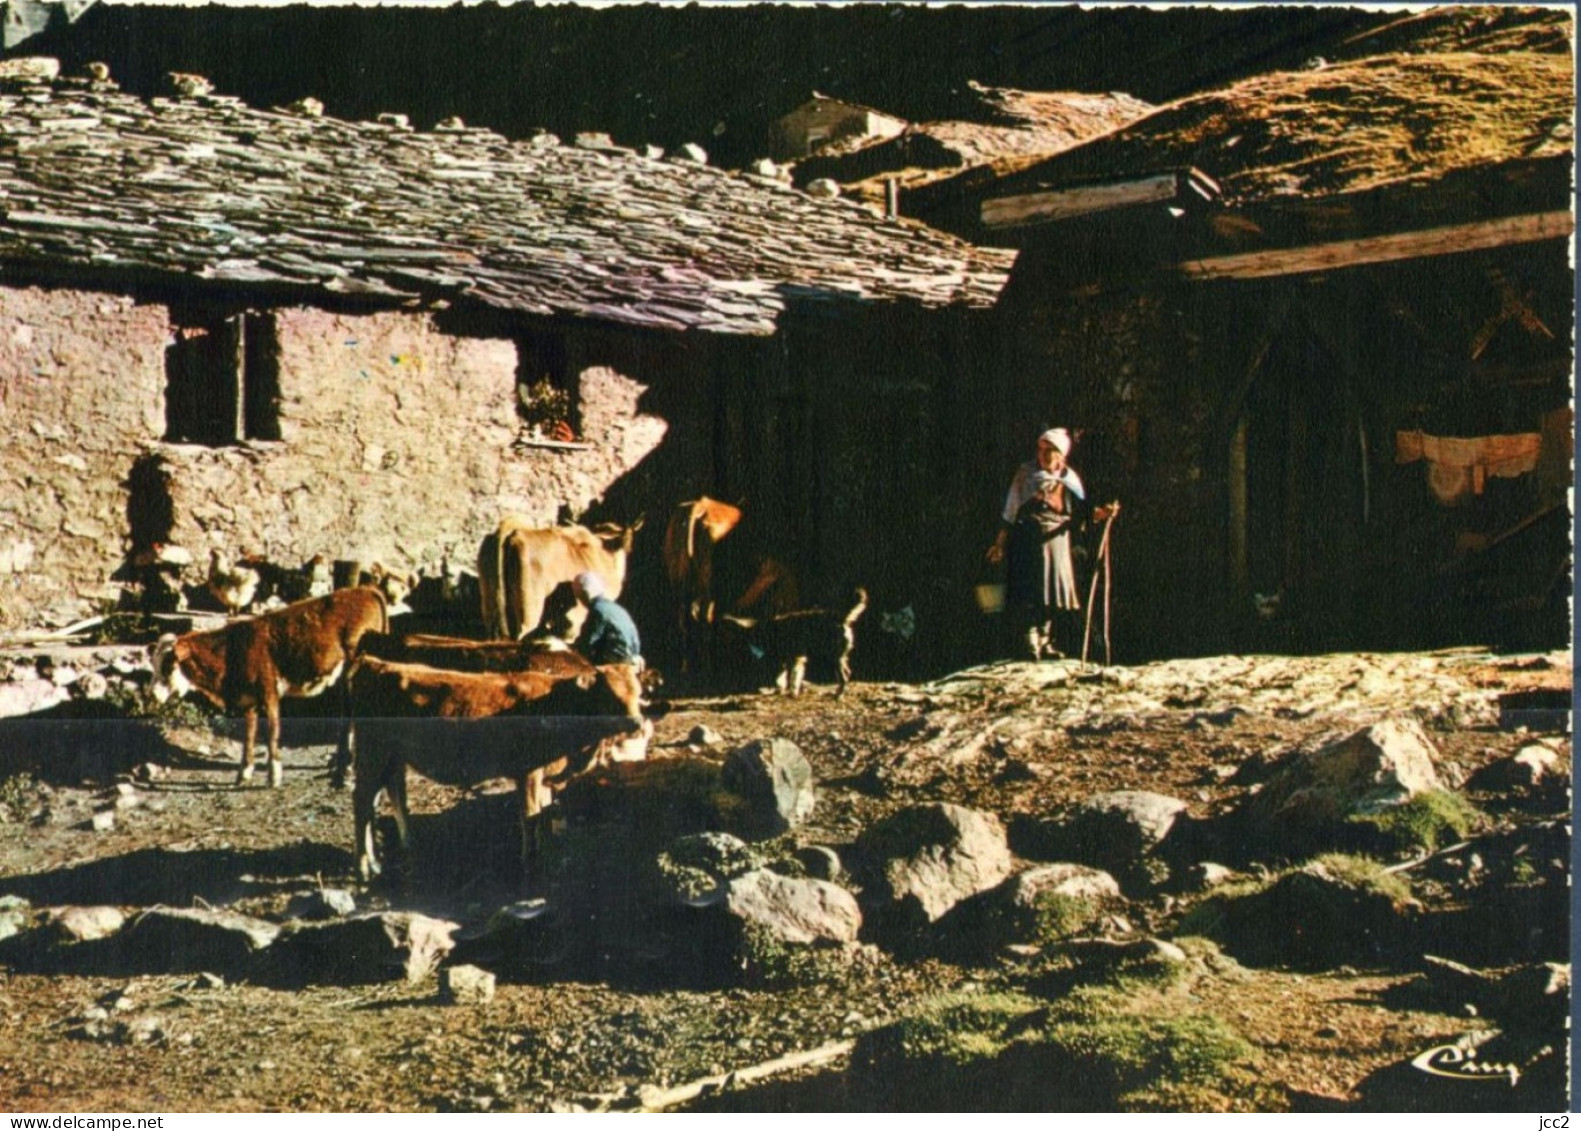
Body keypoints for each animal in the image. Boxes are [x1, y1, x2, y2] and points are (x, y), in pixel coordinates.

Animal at [149, 588, 390, 790]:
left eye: (168, 665)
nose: (153, 694)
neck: (232, 651)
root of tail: (367, 590)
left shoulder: (269, 692)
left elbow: (272, 733)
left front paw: (274, 776)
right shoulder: (248, 700)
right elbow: (249, 734)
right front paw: (244, 773)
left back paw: (347, 767)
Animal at [349, 654, 645, 885]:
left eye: (638, 693)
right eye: (610, 696)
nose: (637, 723)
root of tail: (373, 662)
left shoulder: (545, 776)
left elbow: (545, 814)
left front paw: (545, 854)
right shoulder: (529, 771)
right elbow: (530, 815)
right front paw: (529, 862)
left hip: (392, 759)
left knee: (391, 798)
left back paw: (394, 853)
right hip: (372, 754)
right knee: (362, 802)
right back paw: (364, 868)